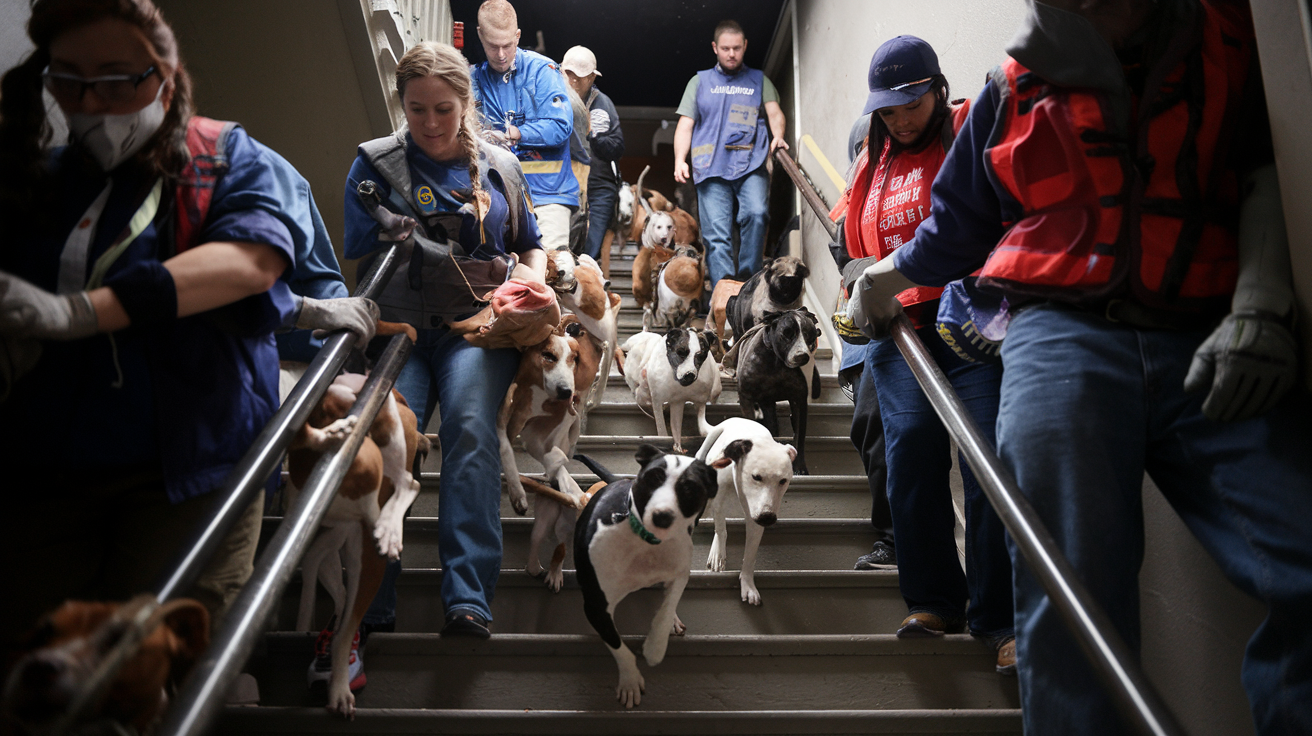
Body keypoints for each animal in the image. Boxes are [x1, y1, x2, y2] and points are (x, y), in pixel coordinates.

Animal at [734, 306, 813, 472]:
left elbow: (799, 437)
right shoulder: (747, 399)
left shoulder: (799, 400)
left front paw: (799, 466)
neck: (775, 362)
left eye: (811, 335)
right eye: (787, 334)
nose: (802, 355)